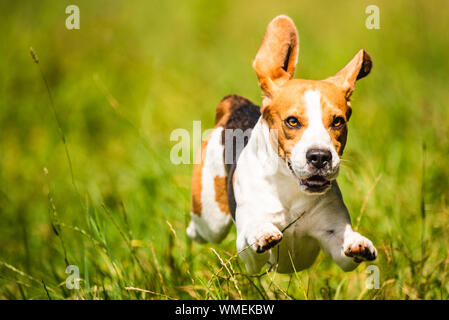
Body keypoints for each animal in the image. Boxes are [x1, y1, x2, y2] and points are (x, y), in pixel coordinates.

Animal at [185, 15, 374, 274]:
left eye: (338, 121)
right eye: (292, 121)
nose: (319, 156)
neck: (290, 188)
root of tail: (236, 104)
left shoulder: (335, 244)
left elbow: (345, 247)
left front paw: (358, 241)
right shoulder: (248, 254)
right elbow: (253, 232)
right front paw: (262, 232)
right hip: (211, 217)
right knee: (199, 229)